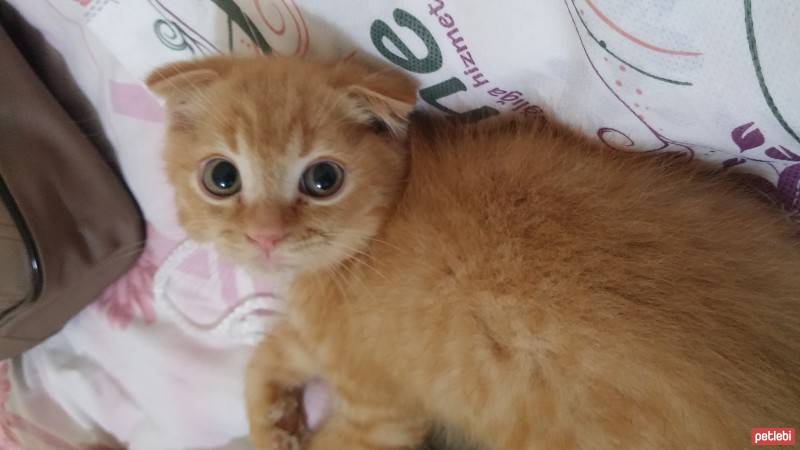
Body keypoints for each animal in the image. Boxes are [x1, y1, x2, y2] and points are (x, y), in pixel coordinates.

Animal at [148, 54, 800, 448]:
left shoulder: (378, 416)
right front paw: (274, 425)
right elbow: (265, 356)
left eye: (323, 179)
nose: (265, 235)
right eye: (222, 178)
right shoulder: (318, 340)